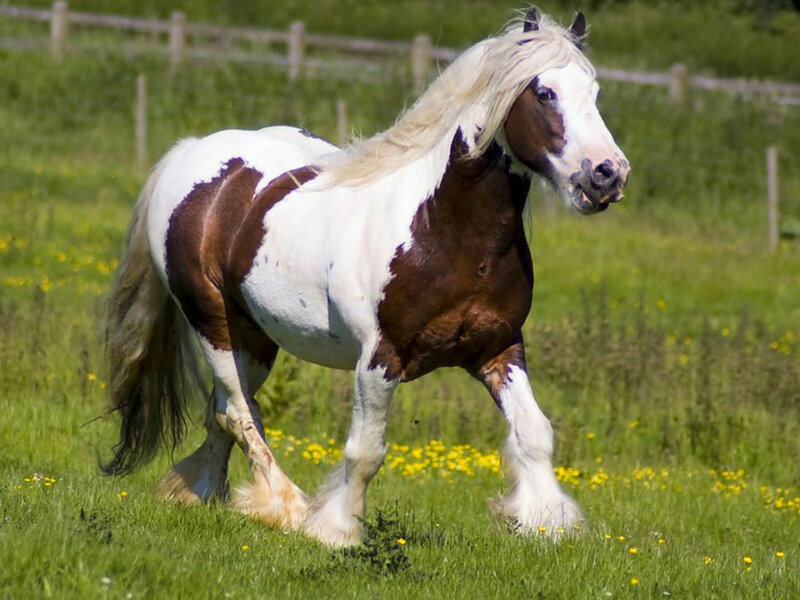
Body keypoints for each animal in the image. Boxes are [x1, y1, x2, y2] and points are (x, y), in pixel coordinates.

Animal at [102, 8, 629, 546]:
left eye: (594, 91)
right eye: (545, 93)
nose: (608, 174)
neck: (443, 230)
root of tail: (190, 152)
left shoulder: (498, 348)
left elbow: (535, 431)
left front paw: (547, 522)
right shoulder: (379, 360)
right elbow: (366, 451)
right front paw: (336, 530)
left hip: (256, 338)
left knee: (223, 410)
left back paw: (204, 493)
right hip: (214, 324)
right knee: (238, 413)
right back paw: (286, 507)